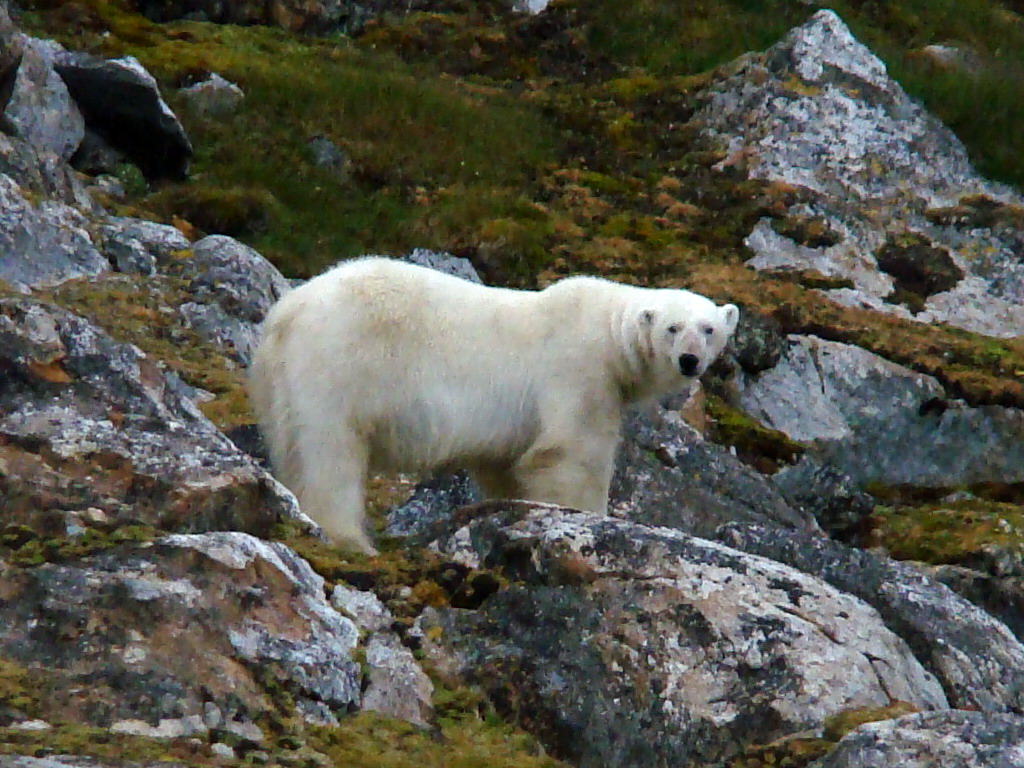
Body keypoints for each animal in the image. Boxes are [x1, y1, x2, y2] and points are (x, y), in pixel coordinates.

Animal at [251, 259, 741, 552]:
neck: (607, 330)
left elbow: (505, 464)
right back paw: (350, 538)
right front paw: (591, 516)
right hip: (340, 364)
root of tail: (286, 312)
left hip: (282, 384)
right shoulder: (578, 371)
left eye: (709, 328)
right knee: (330, 452)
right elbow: (570, 454)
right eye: (673, 328)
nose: (690, 360)